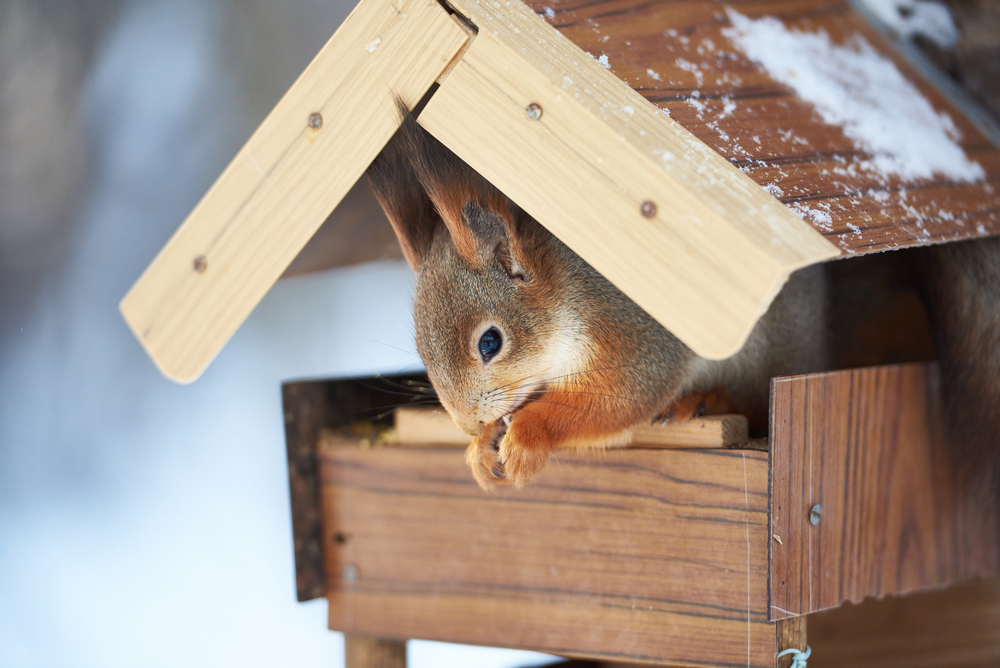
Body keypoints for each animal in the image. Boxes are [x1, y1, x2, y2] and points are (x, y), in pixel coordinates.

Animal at [368, 104, 1000, 490]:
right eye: (420, 350)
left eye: (490, 343)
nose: (465, 422)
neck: (567, 297)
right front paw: (480, 447)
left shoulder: (635, 333)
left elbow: (617, 399)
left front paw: (527, 436)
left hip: (765, 355)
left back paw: (706, 399)